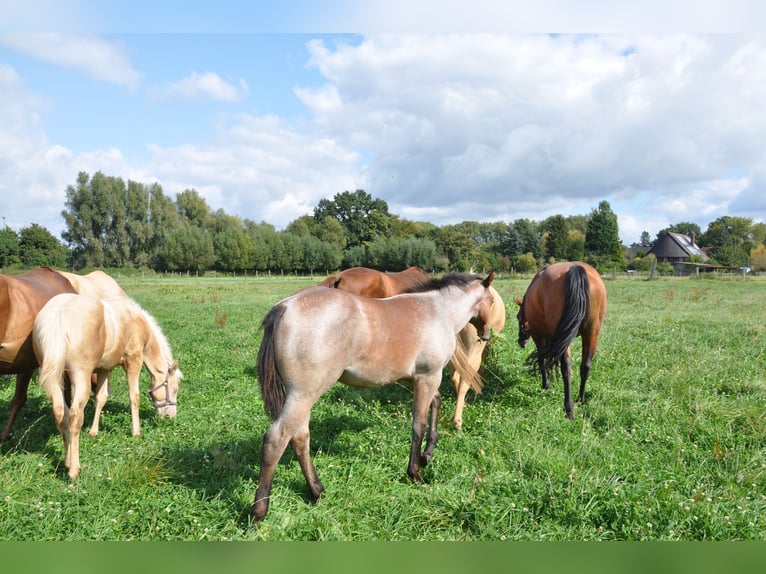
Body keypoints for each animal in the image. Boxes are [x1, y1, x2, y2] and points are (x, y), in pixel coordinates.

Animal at [32, 293, 182, 479]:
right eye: (174, 389)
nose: (171, 416)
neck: (136, 321)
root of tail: (58, 315)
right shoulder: (133, 361)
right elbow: (134, 396)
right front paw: (136, 431)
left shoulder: (104, 369)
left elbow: (101, 398)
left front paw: (93, 432)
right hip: (81, 377)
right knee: (74, 416)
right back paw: (74, 469)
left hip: (56, 379)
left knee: (61, 412)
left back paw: (67, 461)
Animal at [515, 261, 607, 419]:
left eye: (518, 318)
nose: (521, 341)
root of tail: (576, 269)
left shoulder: (540, 336)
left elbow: (542, 359)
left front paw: (546, 384)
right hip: (591, 334)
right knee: (585, 366)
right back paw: (580, 399)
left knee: (566, 367)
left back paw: (569, 408)